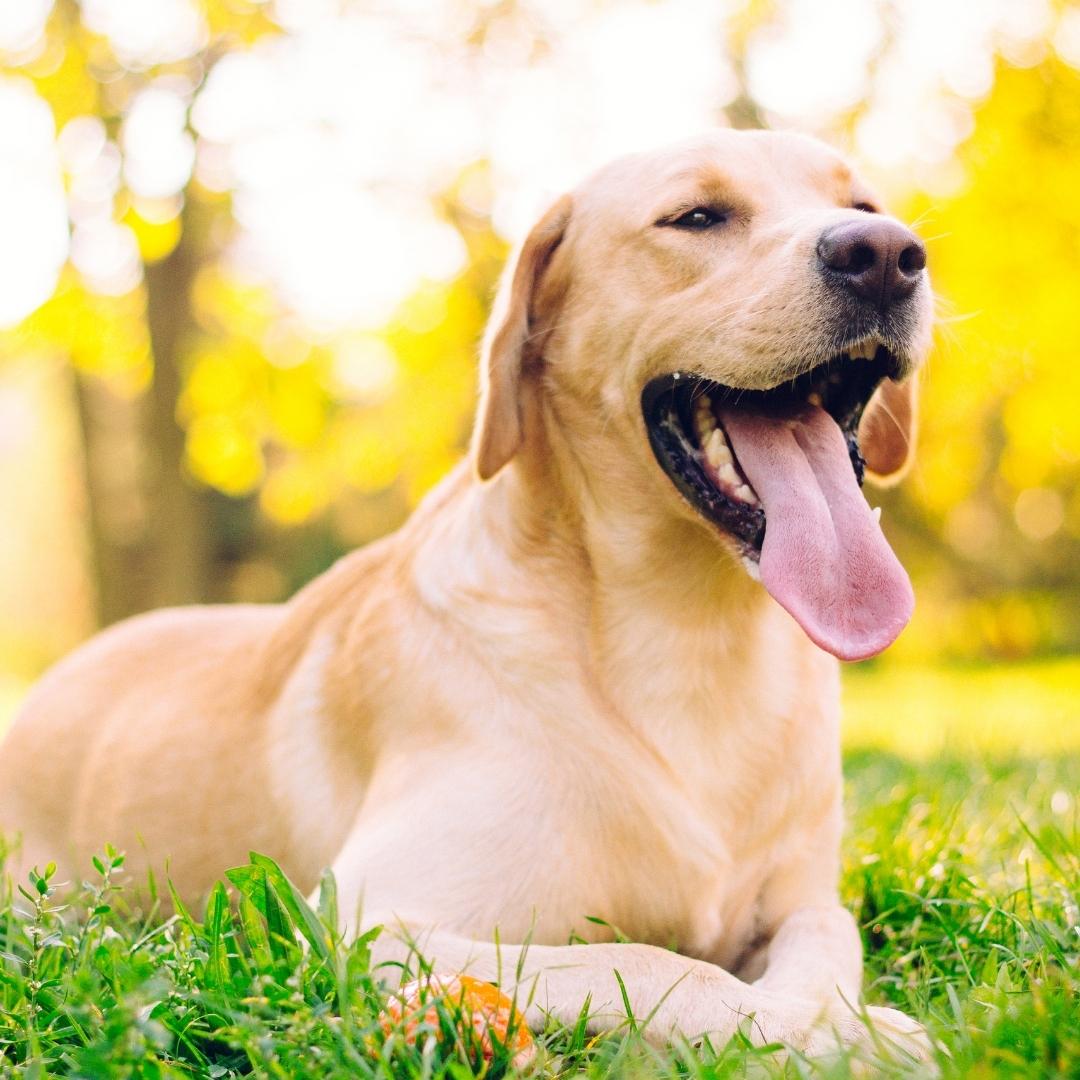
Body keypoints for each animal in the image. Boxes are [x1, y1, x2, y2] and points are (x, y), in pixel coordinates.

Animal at [0, 130, 928, 1058]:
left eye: (866, 208)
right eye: (697, 217)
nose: (885, 256)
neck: (692, 629)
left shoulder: (802, 897)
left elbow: (825, 939)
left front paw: (834, 1016)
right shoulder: (366, 924)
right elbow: (654, 964)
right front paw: (841, 1035)